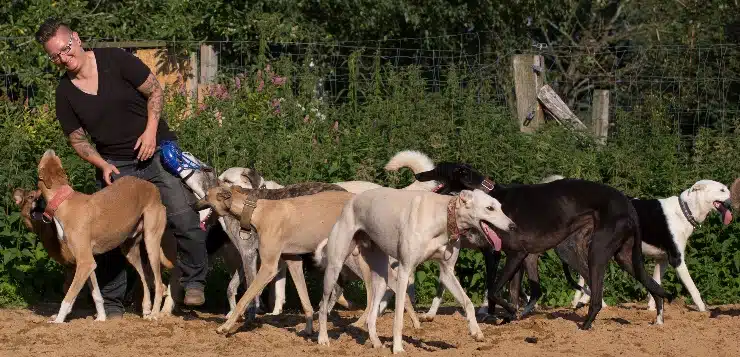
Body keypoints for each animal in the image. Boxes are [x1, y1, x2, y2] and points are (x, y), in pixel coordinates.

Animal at [38, 149, 171, 322]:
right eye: (55, 160)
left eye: (44, 162)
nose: (50, 150)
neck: (64, 201)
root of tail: (153, 188)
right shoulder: (88, 263)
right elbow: (96, 294)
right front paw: (101, 318)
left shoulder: (85, 262)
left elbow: (69, 295)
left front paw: (58, 320)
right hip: (130, 251)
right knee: (147, 279)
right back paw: (147, 310)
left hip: (151, 242)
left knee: (160, 284)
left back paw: (154, 314)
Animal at [316, 188, 516, 352]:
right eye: (490, 208)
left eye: (500, 207)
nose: (513, 226)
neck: (442, 216)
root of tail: (351, 201)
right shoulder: (405, 270)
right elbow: (398, 317)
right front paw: (398, 348)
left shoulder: (447, 272)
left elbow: (467, 303)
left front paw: (476, 331)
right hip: (335, 267)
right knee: (323, 305)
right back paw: (323, 339)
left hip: (381, 277)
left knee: (372, 315)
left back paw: (377, 344)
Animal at [414, 161, 672, 328]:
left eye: (438, 170)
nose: (418, 176)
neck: (491, 197)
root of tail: (628, 204)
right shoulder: (517, 258)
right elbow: (512, 291)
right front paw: (509, 317)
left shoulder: (515, 254)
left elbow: (494, 289)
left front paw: (509, 312)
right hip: (623, 256)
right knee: (651, 286)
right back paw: (658, 318)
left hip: (596, 252)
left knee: (597, 296)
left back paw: (586, 324)